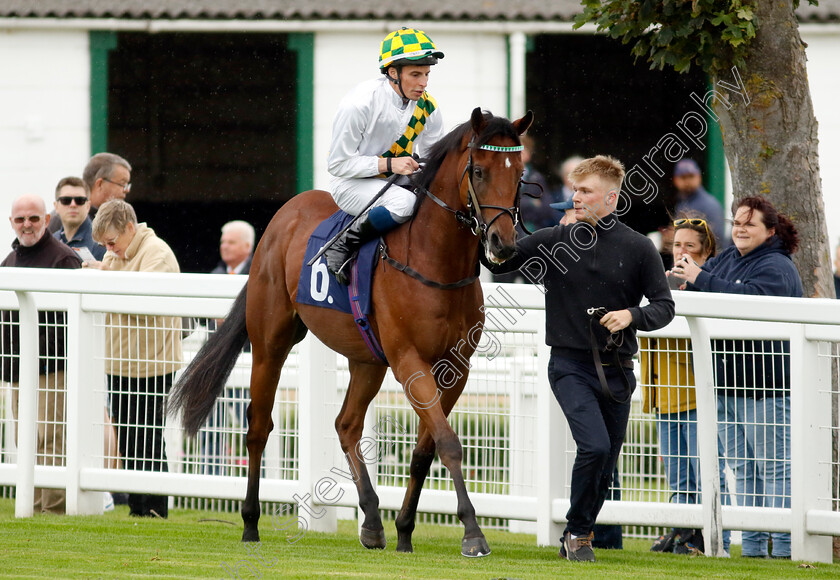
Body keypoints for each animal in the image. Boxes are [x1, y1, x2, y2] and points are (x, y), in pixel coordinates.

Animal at [172, 106, 532, 556]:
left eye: (519, 173)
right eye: (479, 170)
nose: (503, 244)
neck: (434, 263)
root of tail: (284, 216)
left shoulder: (456, 366)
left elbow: (426, 448)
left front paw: (405, 531)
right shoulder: (410, 361)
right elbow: (448, 442)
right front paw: (472, 532)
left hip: (366, 359)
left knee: (346, 425)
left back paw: (373, 522)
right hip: (271, 342)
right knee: (258, 426)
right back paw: (251, 522)